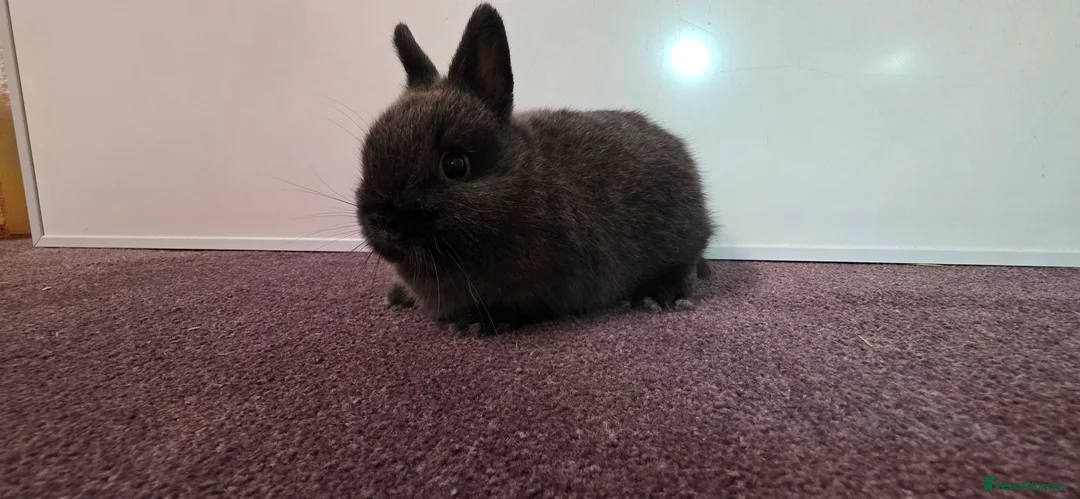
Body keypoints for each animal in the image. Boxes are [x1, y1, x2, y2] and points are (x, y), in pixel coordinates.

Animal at [355, 3, 715, 335]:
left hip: (680, 240)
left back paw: (659, 295)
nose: (384, 221)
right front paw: (399, 296)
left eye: (454, 165)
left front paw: (478, 322)